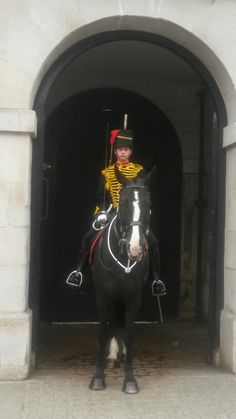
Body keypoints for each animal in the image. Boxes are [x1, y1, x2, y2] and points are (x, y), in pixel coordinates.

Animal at [88, 167, 155, 394]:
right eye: (124, 203)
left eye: (148, 204)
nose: (135, 249)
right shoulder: (102, 294)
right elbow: (103, 331)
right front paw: (98, 377)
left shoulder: (133, 295)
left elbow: (130, 333)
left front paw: (130, 379)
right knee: (114, 324)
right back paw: (112, 355)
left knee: (120, 326)